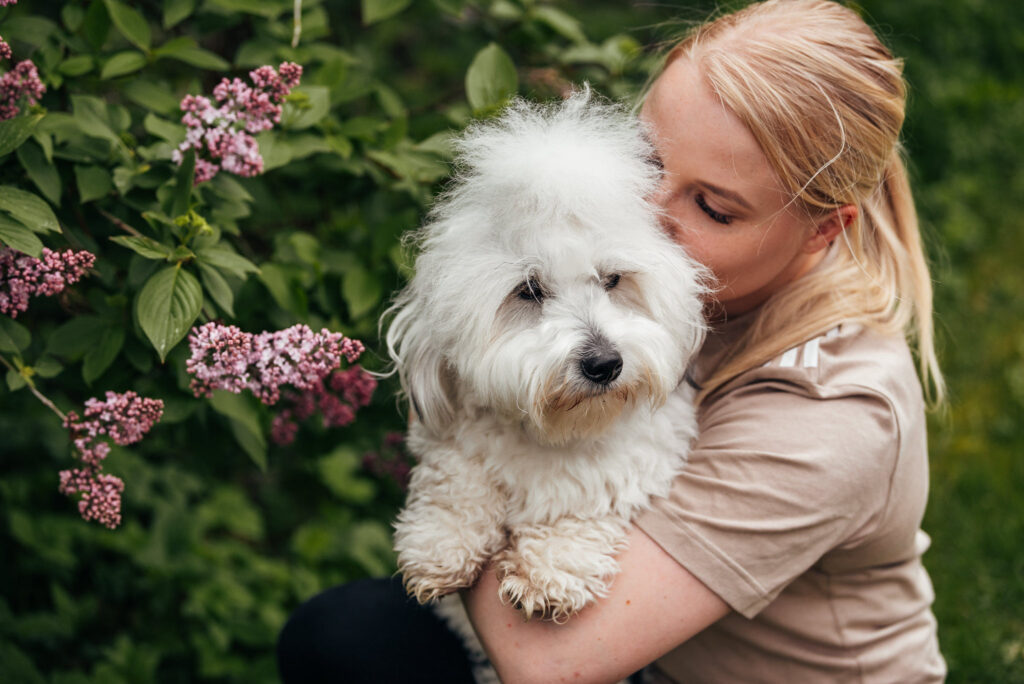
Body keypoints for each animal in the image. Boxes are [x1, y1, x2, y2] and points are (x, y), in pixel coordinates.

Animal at [387, 89, 708, 626]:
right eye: (529, 290)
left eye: (613, 279)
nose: (605, 364)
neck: (553, 432)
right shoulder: (454, 440)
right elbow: (457, 480)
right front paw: (442, 544)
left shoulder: (641, 458)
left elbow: (588, 502)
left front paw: (551, 569)